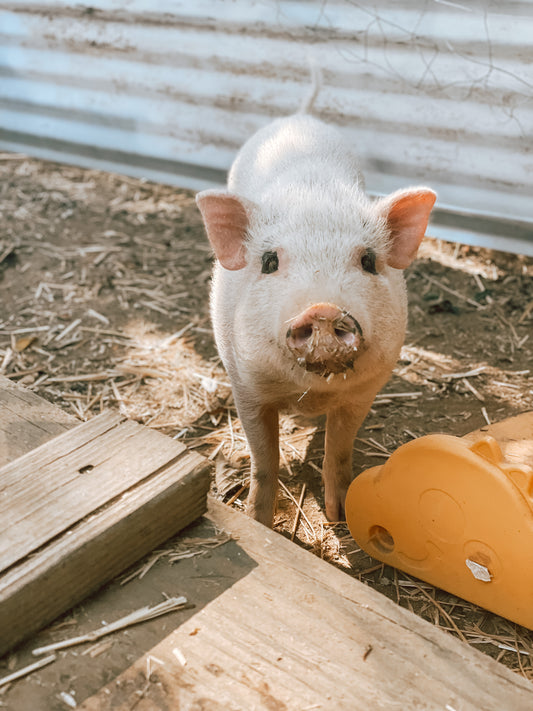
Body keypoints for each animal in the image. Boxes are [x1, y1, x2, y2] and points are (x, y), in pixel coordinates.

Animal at [193, 108, 434, 528]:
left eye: (368, 260)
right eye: (269, 262)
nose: (322, 309)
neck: (310, 393)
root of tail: (299, 116)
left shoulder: (364, 391)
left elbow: (339, 450)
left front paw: (339, 518)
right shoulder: (246, 386)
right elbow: (263, 460)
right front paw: (259, 522)